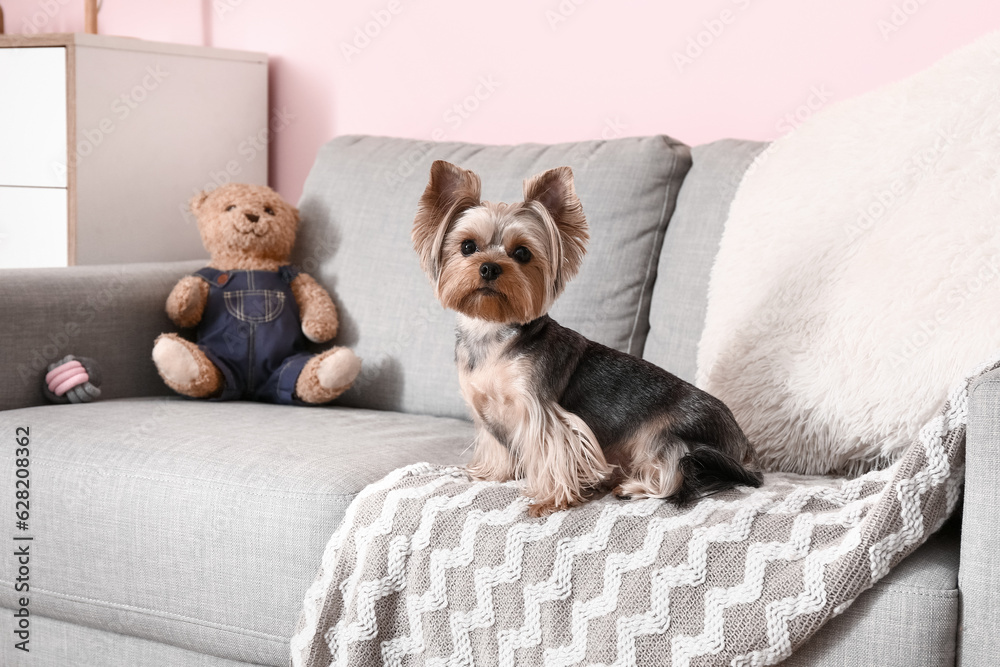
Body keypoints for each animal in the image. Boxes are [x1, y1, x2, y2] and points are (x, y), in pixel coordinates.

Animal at [410, 160, 760, 516]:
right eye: (468, 246)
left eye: (522, 253)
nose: (489, 268)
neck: (493, 332)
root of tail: (745, 447)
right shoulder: (486, 411)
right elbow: (497, 446)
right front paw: (491, 474)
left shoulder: (542, 412)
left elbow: (553, 452)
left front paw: (550, 499)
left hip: (666, 436)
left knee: (675, 469)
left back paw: (634, 487)